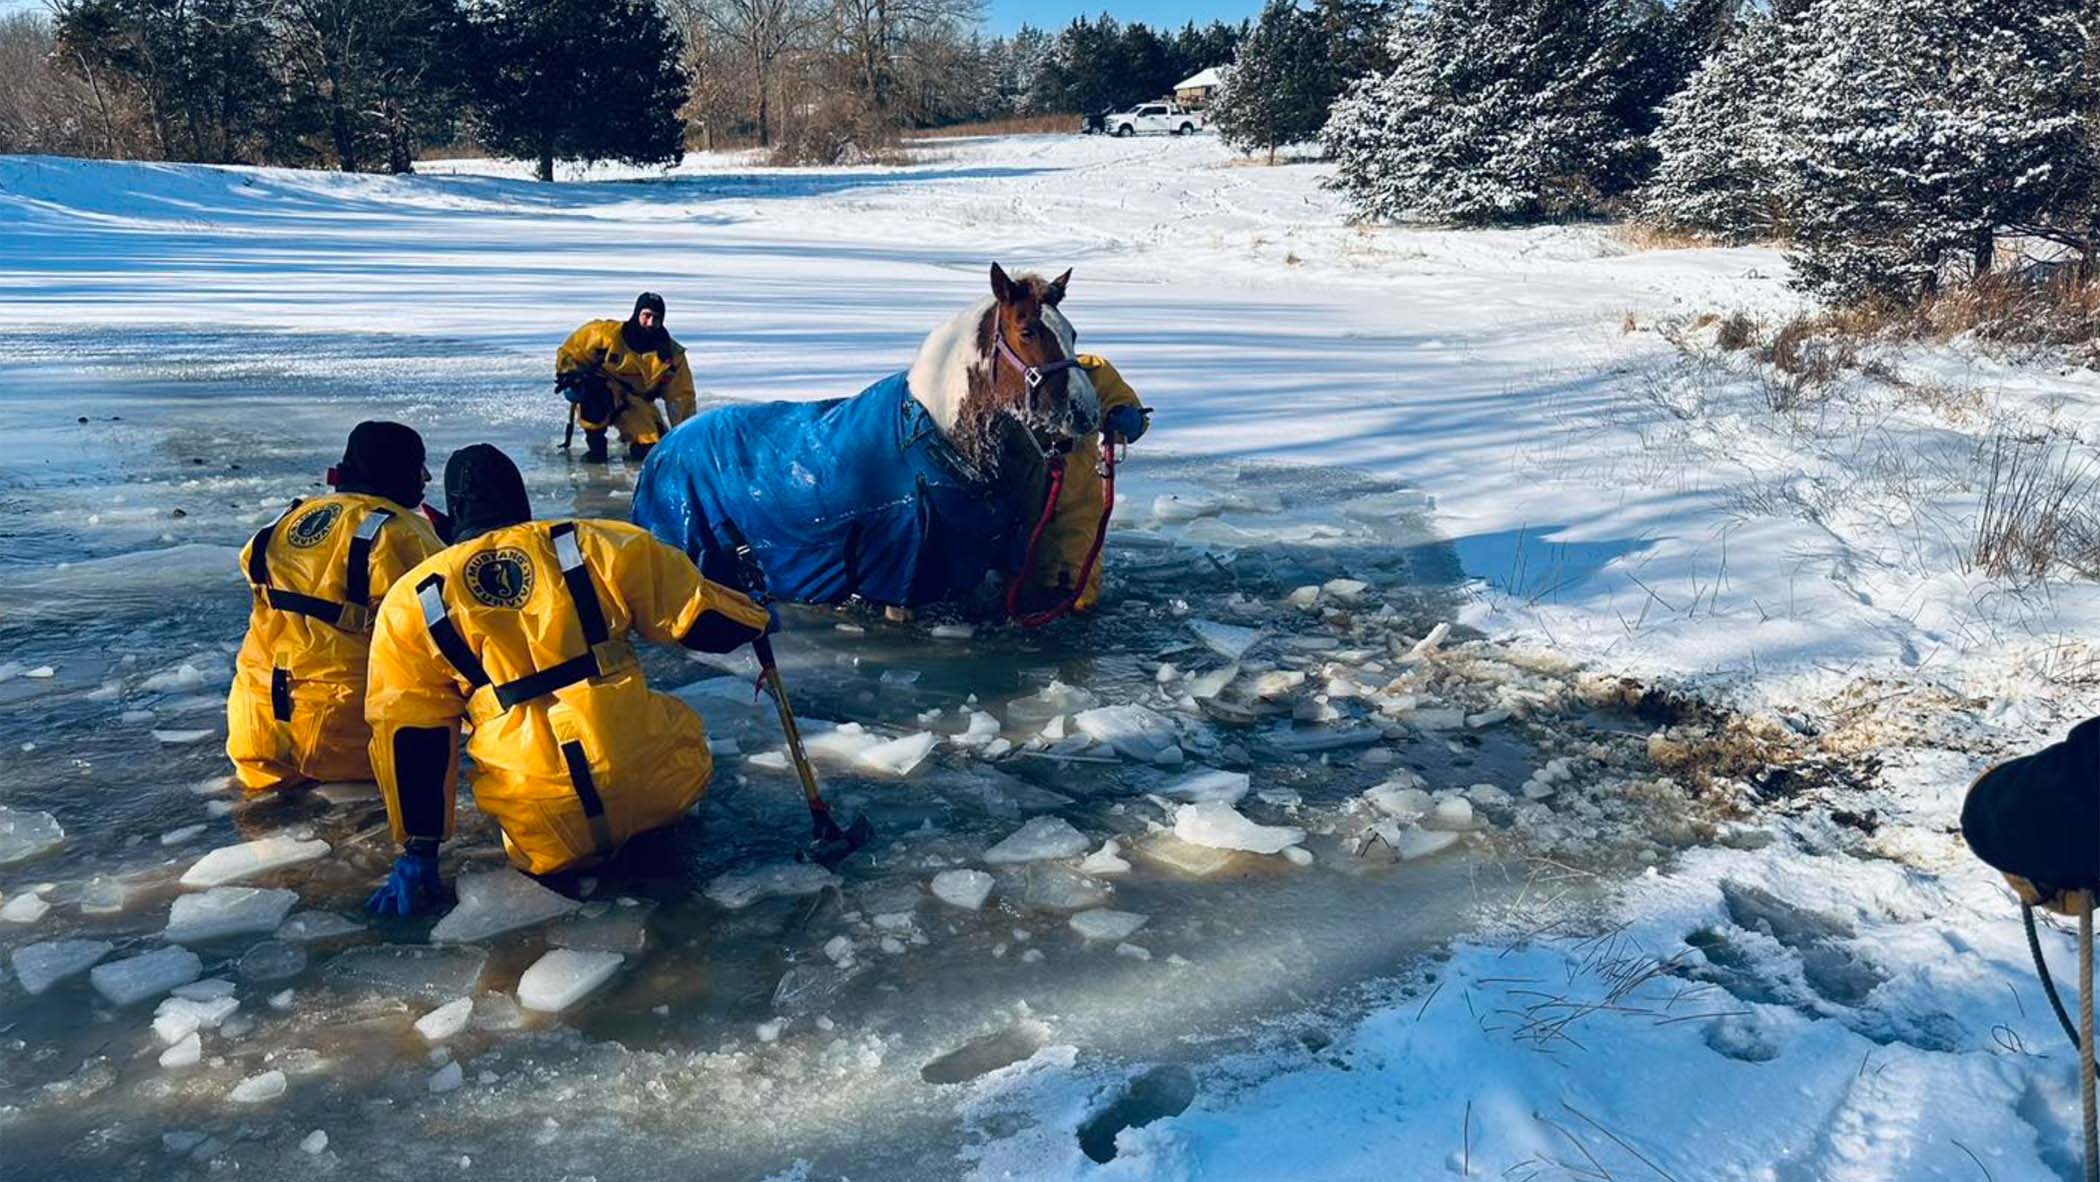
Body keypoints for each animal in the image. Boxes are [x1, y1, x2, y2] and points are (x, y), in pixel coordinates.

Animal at [631, 263, 1102, 614]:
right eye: (1027, 331)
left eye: (1073, 333)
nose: (1086, 412)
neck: (937, 442)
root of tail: (663, 449)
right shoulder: (901, 578)